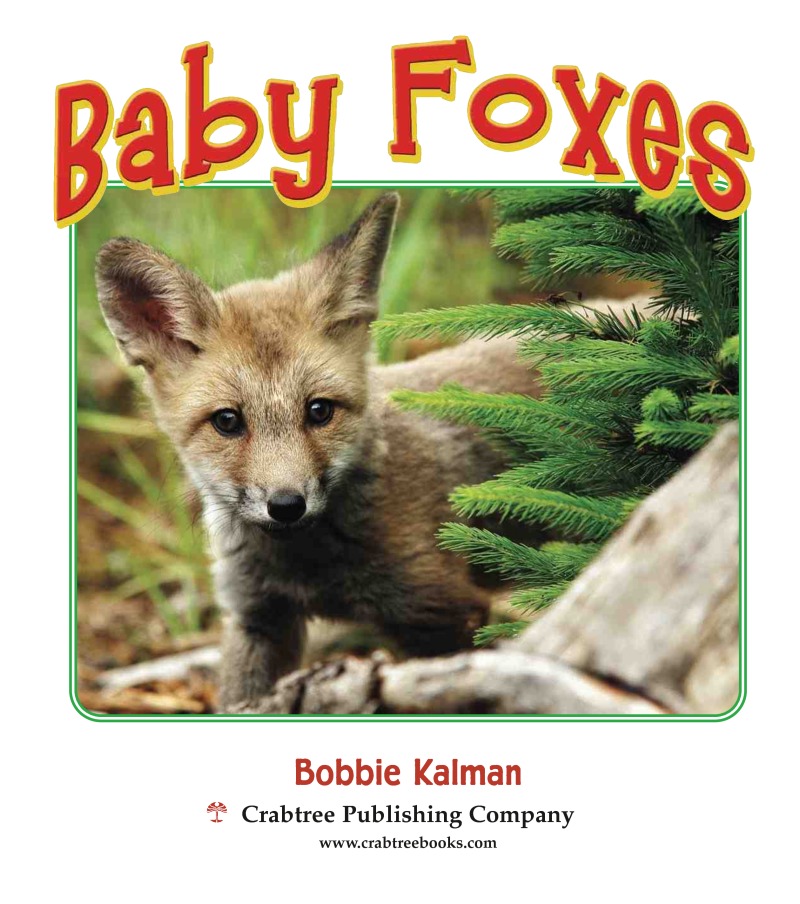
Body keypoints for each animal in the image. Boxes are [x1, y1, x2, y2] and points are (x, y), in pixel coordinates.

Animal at [95, 192, 537, 711]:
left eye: (319, 411)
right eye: (227, 421)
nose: (286, 505)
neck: (307, 571)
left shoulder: (443, 611)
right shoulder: (258, 618)